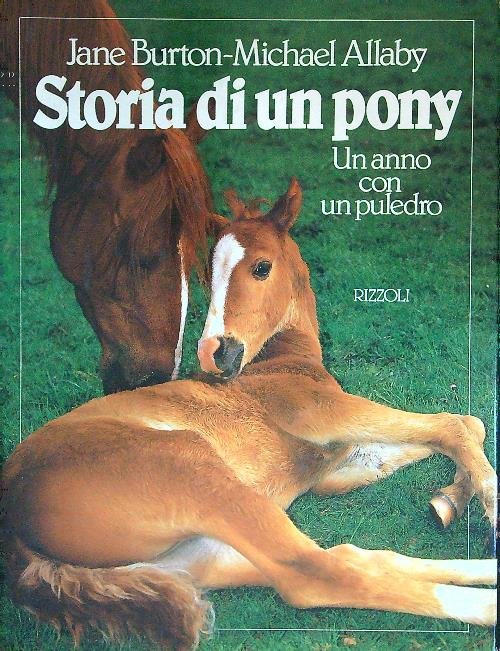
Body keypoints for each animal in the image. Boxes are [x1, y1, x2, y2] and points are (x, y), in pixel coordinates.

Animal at [2, 178, 496, 650]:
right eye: (208, 275)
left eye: (261, 267)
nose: (213, 352)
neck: (283, 360)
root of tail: (13, 525)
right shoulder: (319, 412)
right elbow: (455, 424)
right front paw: (482, 503)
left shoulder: (335, 467)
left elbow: (452, 431)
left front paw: (448, 501)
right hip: (197, 474)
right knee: (313, 573)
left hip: (196, 554)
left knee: (347, 557)